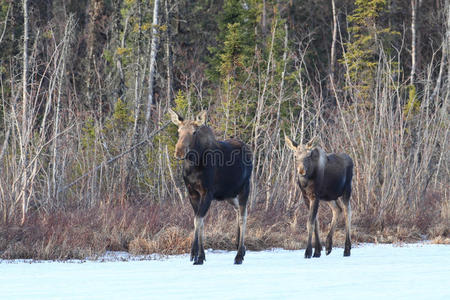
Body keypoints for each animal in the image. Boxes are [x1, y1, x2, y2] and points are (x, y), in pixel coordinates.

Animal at [169, 109, 253, 264]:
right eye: (178, 131)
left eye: (194, 132)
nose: (179, 152)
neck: (193, 165)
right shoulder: (192, 193)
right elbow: (198, 221)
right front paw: (197, 254)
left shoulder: (207, 192)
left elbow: (198, 220)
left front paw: (198, 256)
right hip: (228, 195)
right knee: (238, 211)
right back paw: (241, 248)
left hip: (245, 187)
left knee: (243, 217)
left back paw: (238, 255)